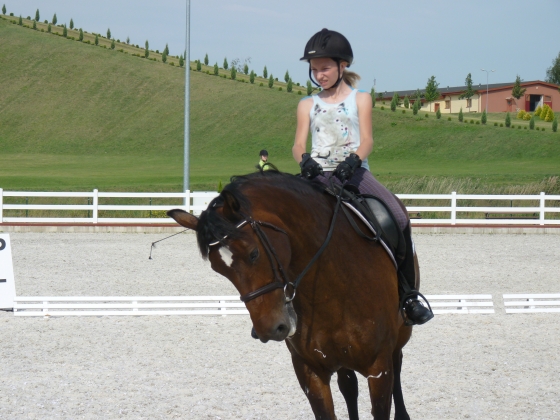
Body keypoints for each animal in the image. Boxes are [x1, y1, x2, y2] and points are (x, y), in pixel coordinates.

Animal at [168, 171, 418, 420]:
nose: (270, 329)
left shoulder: (379, 369)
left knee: (397, 364)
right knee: (349, 385)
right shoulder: (309, 370)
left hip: (399, 336)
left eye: (253, 253)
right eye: (217, 268)